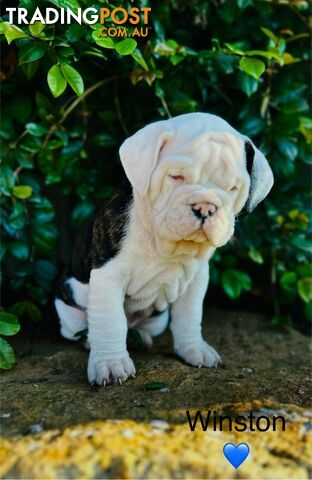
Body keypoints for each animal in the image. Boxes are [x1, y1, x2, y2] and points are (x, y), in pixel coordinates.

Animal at [55, 112, 272, 386]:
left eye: (233, 188)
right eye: (176, 177)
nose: (205, 207)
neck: (167, 243)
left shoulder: (197, 279)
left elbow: (189, 316)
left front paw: (194, 349)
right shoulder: (108, 274)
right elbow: (110, 320)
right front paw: (111, 363)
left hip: (158, 319)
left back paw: (139, 338)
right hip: (68, 305)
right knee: (78, 329)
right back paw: (89, 341)